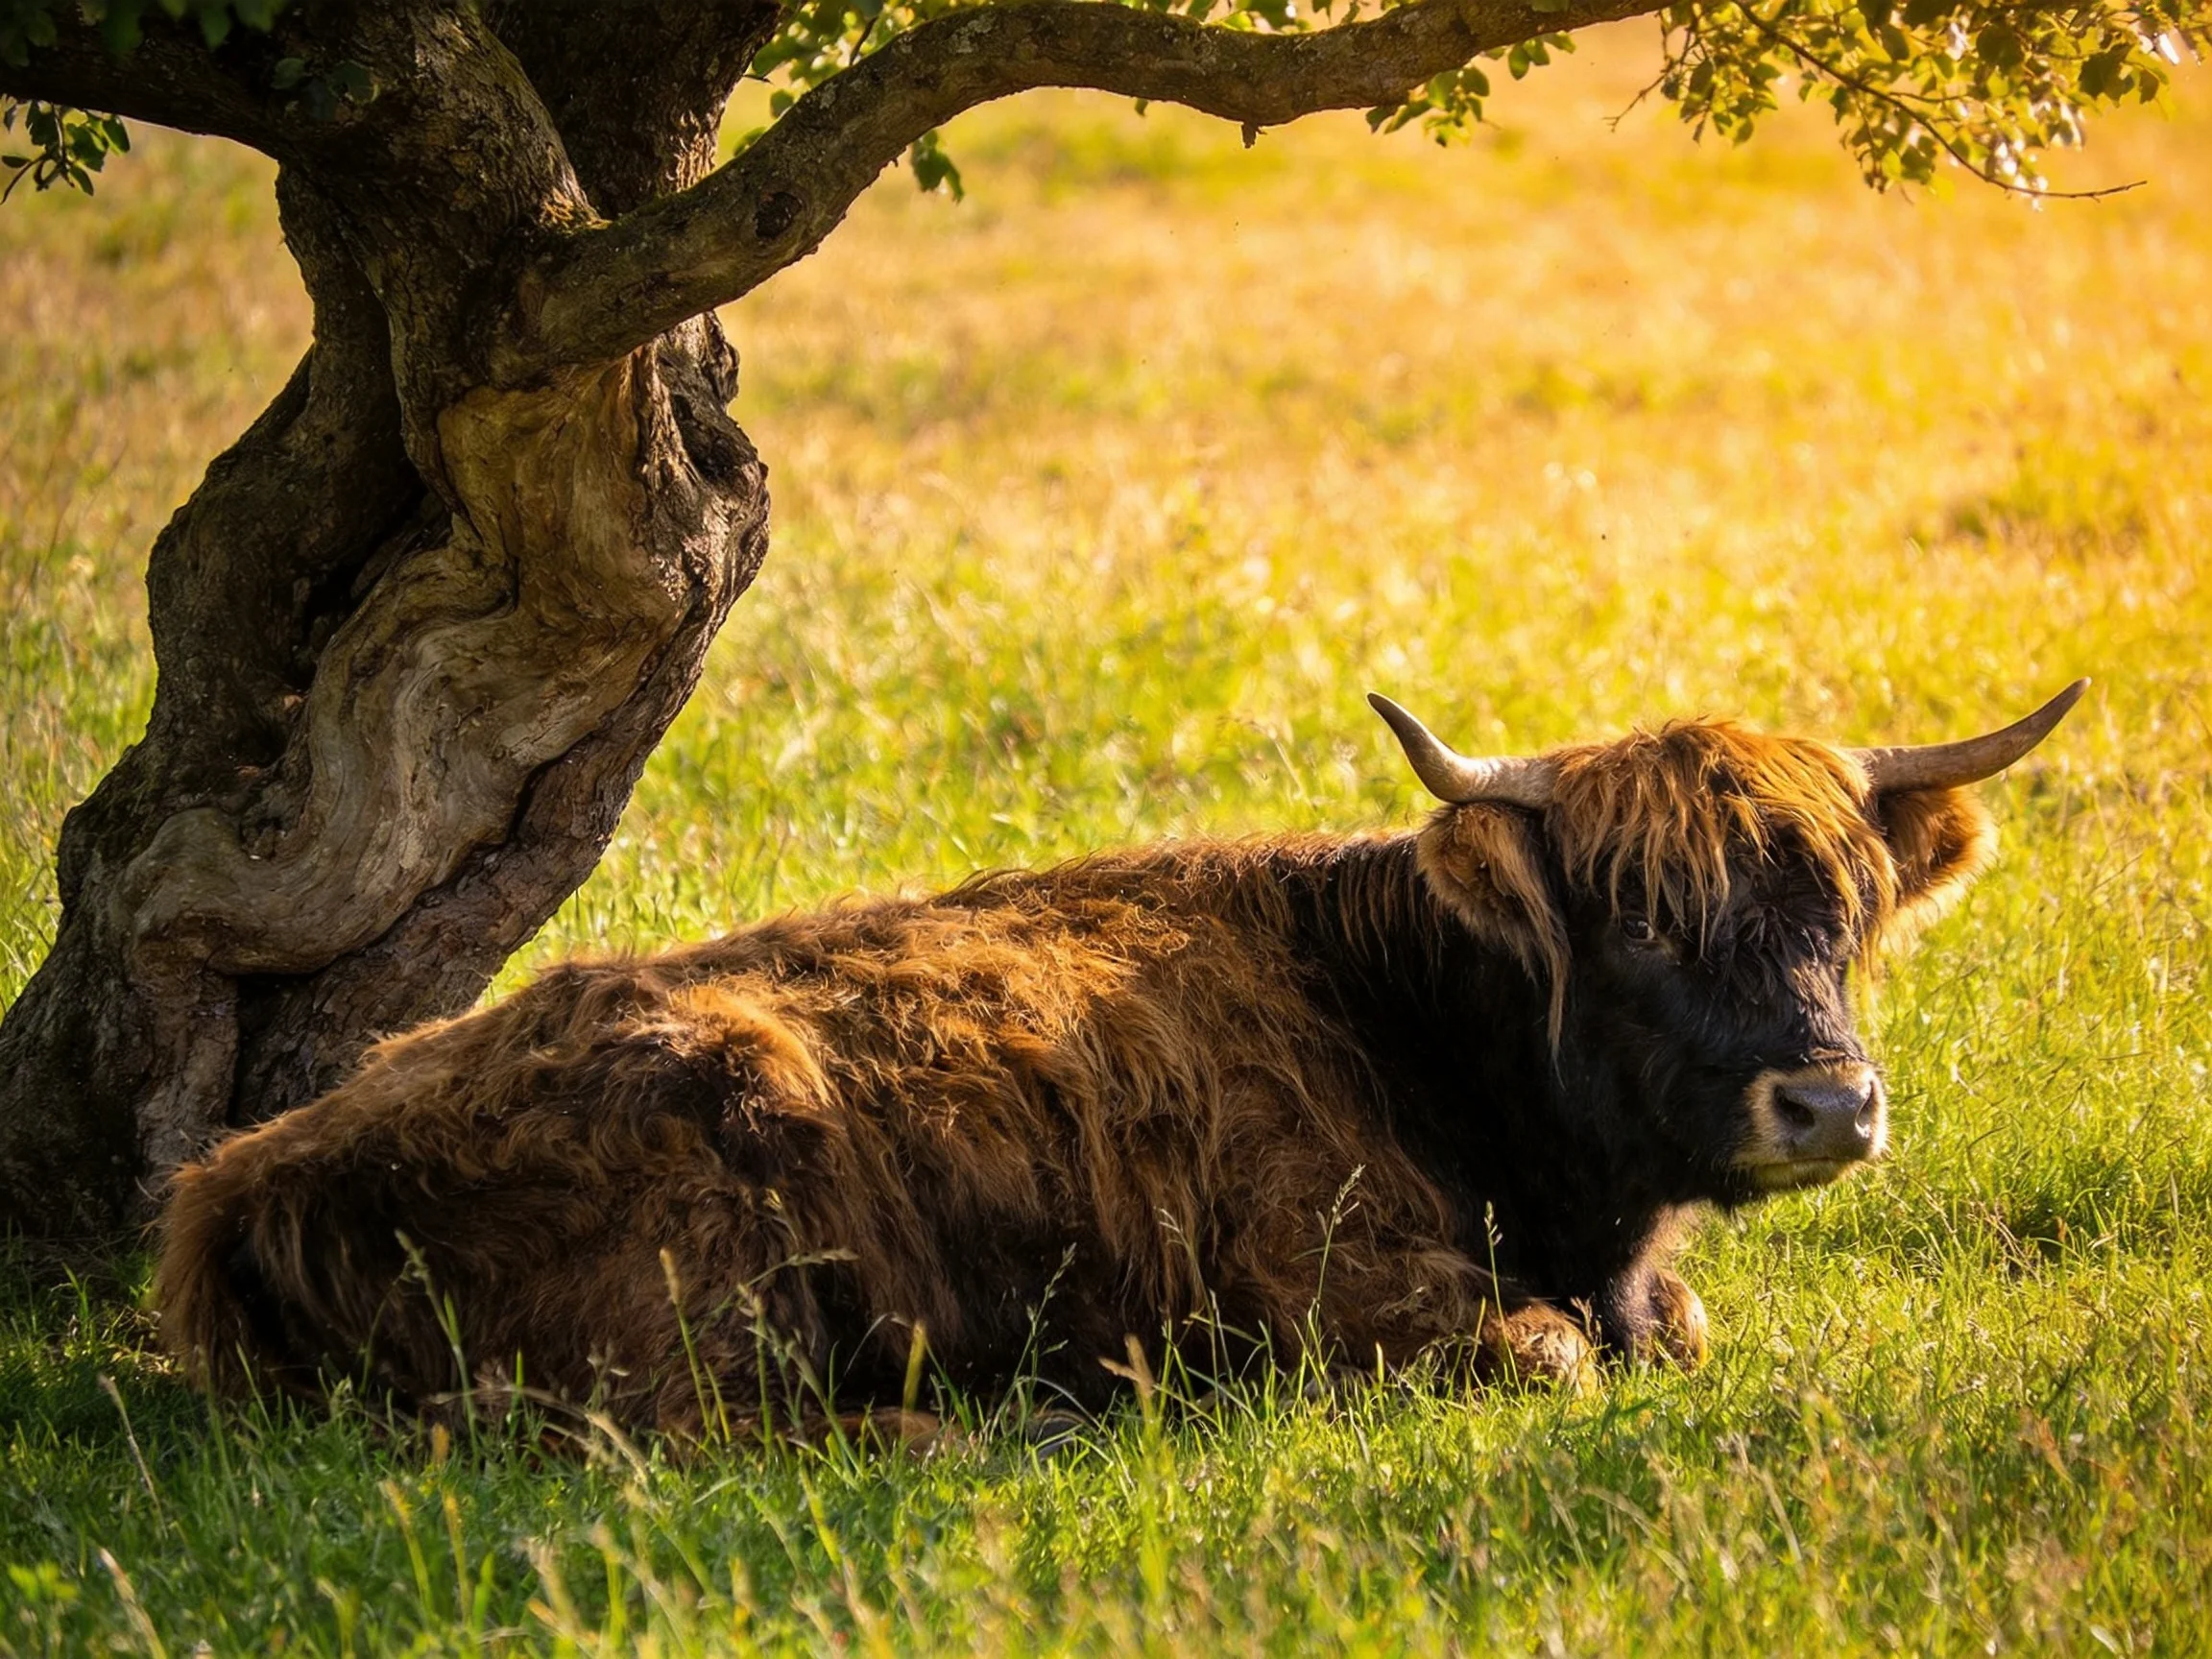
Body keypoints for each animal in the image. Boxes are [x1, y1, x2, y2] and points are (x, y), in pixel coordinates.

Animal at [156, 682, 2085, 1437]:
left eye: (1843, 911)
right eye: (1644, 922)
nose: (1828, 1101)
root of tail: (239, 1181)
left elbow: (1673, 1328)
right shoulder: (1344, 1294)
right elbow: (1544, 1352)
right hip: (697, 1252)